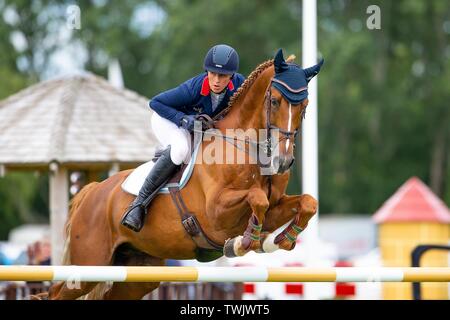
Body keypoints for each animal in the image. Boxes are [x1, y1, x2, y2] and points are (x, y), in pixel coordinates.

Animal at [44, 50, 320, 300]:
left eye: (304, 107)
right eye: (274, 101)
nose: (283, 162)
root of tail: (92, 192)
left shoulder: (274, 207)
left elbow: (307, 203)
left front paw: (281, 240)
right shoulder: (217, 212)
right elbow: (256, 198)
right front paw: (244, 242)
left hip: (138, 271)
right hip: (90, 264)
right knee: (57, 293)